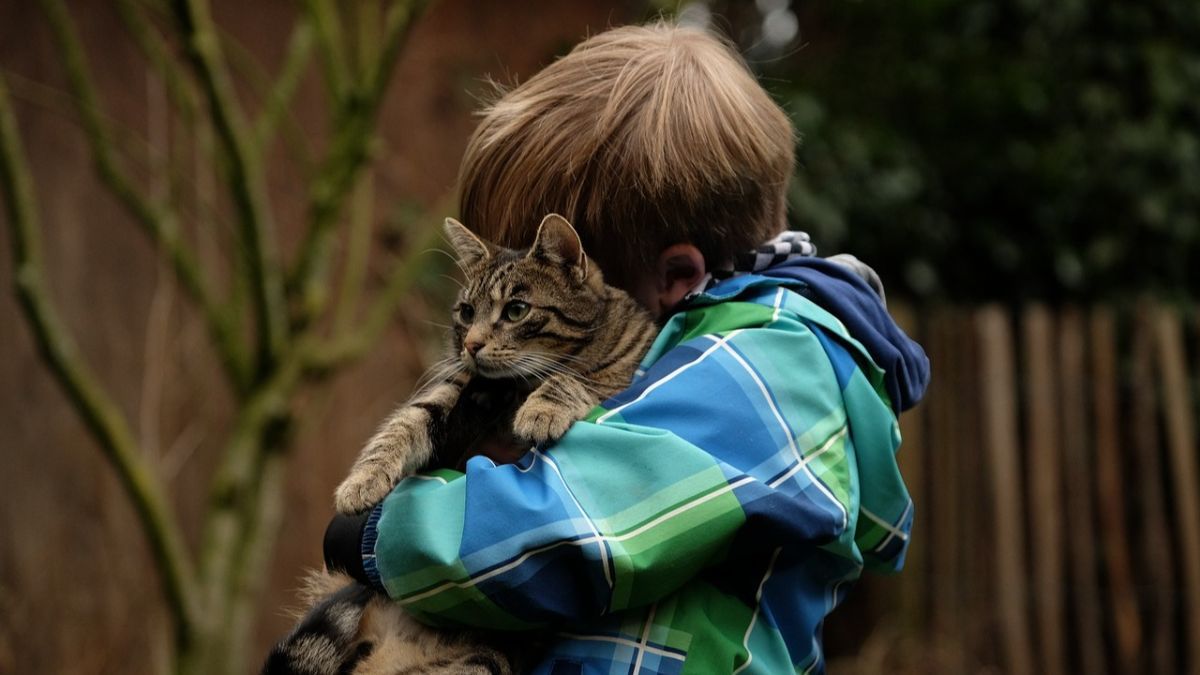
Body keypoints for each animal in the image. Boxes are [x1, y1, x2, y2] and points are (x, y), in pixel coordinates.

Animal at [265, 213, 657, 672]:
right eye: (467, 312)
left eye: (516, 310)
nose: (470, 344)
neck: (515, 388)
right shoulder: (453, 390)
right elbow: (402, 425)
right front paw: (360, 482)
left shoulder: (618, 376)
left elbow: (578, 379)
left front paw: (542, 410)